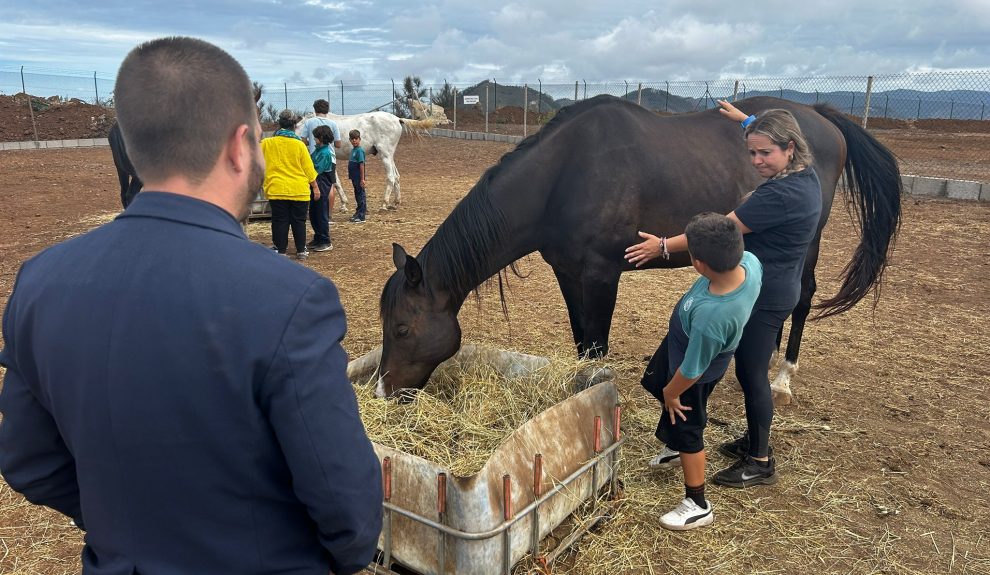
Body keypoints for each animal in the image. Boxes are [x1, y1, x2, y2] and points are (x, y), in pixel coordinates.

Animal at [294, 112, 434, 212]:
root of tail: (397, 119)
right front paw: (343, 205)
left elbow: (335, 182)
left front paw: (343, 205)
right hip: (390, 156)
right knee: (397, 176)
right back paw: (395, 203)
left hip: (385, 155)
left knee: (391, 177)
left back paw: (384, 204)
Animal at [376, 94, 904, 400]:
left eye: (402, 329)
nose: (383, 391)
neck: (562, 178)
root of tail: (822, 118)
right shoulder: (569, 273)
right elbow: (582, 342)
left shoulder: (602, 274)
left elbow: (597, 343)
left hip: (808, 239)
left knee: (802, 296)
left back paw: (782, 377)